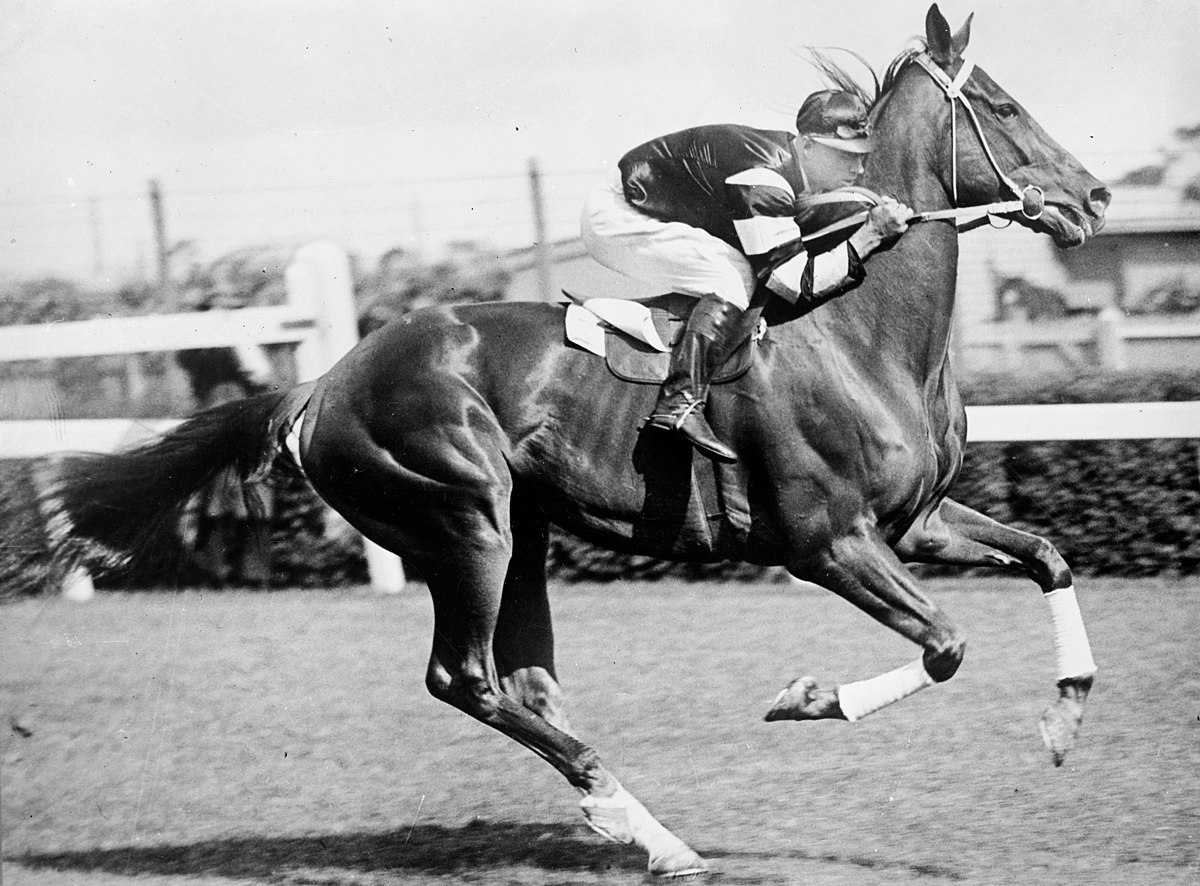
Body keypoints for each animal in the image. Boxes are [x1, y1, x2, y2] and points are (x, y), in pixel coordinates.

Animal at [54, 5, 1104, 878]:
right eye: (1003, 105)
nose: (1091, 197)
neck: (862, 333)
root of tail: (322, 384)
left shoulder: (916, 520)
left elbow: (1047, 555)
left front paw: (1063, 718)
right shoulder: (827, 541)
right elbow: (947, 645)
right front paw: (807, 696)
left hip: (520, 533)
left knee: (528, 683)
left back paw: (644, 829)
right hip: (465, 521)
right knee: (464, 678)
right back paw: (627, 812)